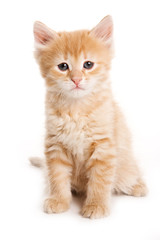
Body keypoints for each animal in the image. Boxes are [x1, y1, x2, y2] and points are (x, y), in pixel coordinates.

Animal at [32, 15, 148, 219]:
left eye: (88, 64)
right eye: (63, 66)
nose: (76, 79)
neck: (76, 110)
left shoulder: (104, 146)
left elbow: (100, 181)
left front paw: (96, 205)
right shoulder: (55, 145)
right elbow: (57, 177)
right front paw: (59, 200)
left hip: (126, 167)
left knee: (129, 174)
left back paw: (138, 186)